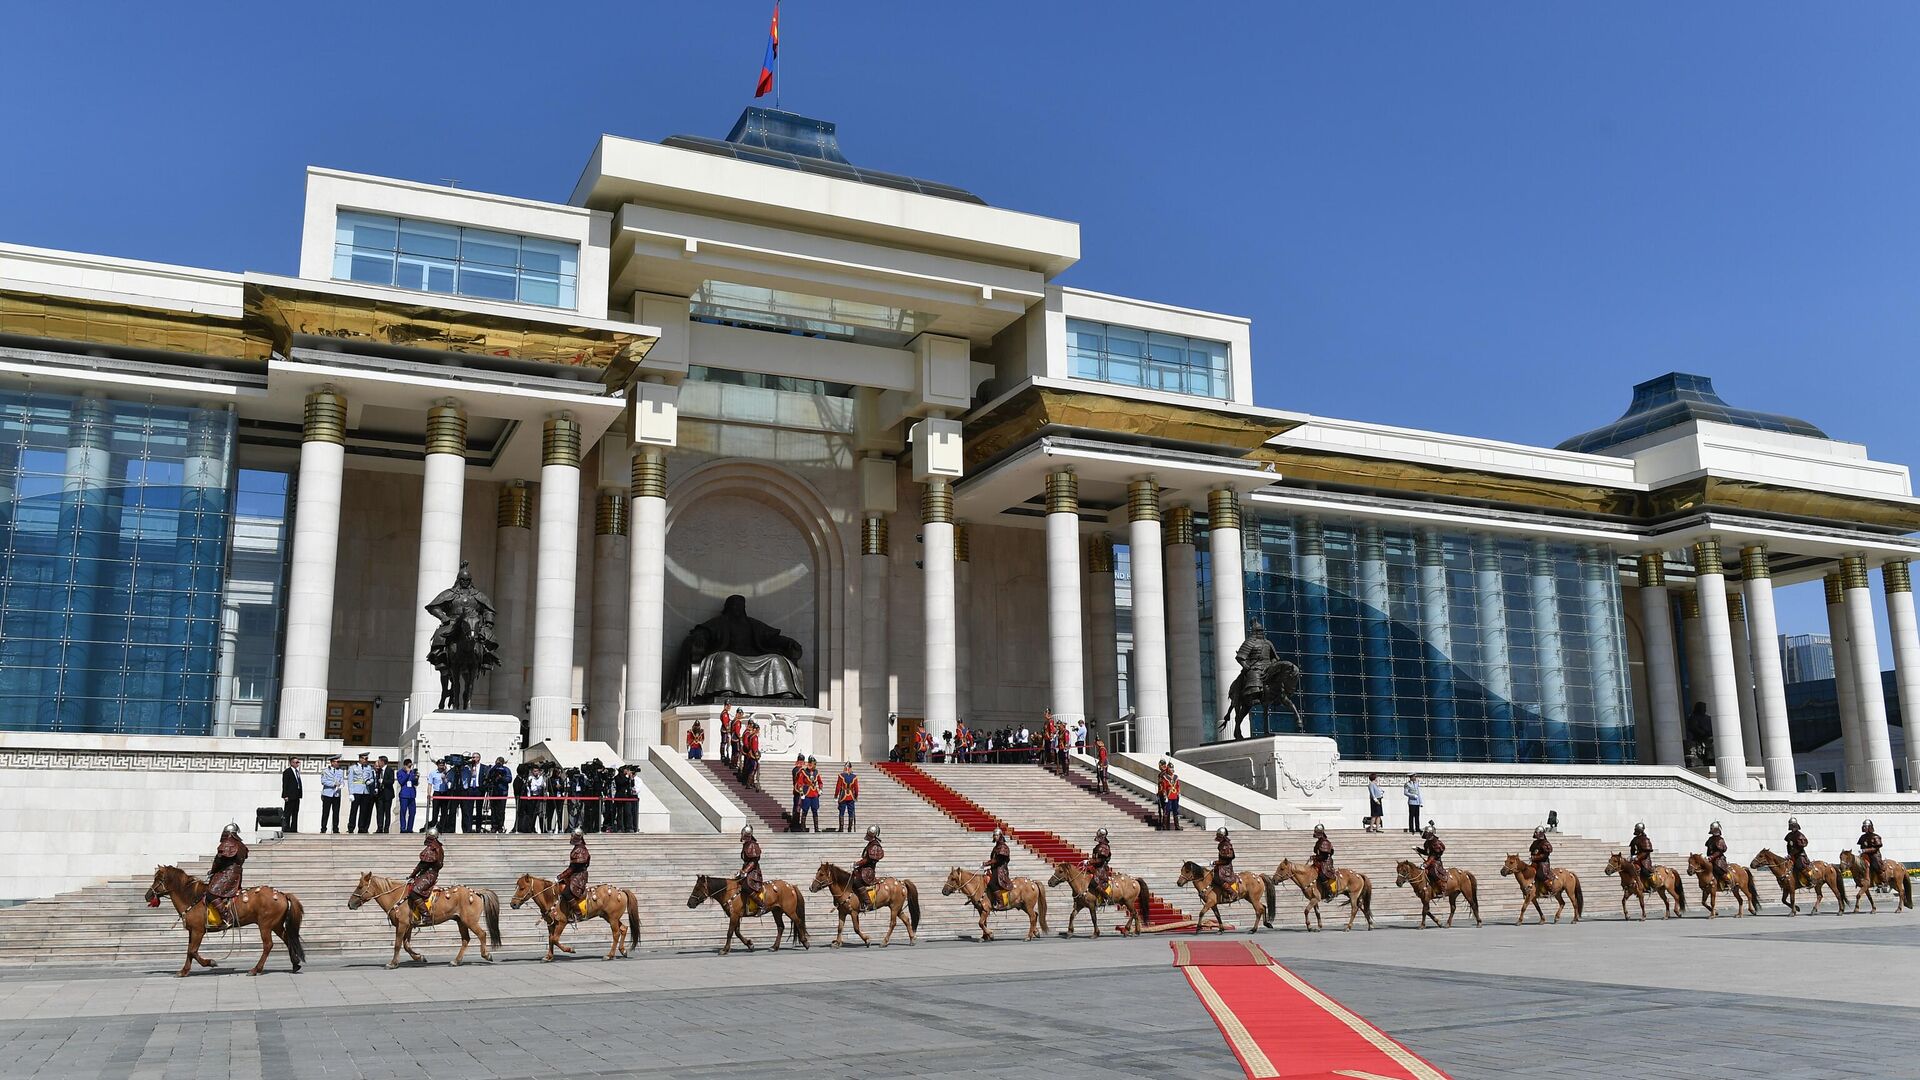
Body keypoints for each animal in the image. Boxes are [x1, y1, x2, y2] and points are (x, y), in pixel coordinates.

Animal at [145, 864, 305, 976]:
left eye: (158, 879)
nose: (147, 896)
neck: (191, 898)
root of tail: (283, 894)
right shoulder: (192, 931)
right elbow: (189, 951)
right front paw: (184, 971)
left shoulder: (198, 931)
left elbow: (193, 951)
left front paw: (210, 962)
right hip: (276, 925)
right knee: (287, 939)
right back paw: (295, 964)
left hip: (265, 924)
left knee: (268, 945)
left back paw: (255, 969)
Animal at [349, 864, 503, 968]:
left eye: (360, 887)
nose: (350, 904)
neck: (395, 896)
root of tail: (476, 892)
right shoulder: (408, 926)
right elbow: (406, 945)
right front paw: (419, 957)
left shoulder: (402, 925)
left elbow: (398, 944)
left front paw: (393, 963)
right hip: (461, 921)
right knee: (465, 939)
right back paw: (456, 961)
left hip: (469, 921)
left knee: (482, 934)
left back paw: (486, 955)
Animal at [510, 864, 645, 957]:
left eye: (522, 888)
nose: (513, 904)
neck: (551, 897)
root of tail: (621, 891)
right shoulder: (551, 924)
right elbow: (550, 939)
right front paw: (549, 957)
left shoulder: (562, 922)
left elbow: (554, 939)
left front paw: (570, 949)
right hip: (609, 917)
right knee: (623, 929)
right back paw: (623, 950)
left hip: (612, 918)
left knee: (616, 933)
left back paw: (610, 955)